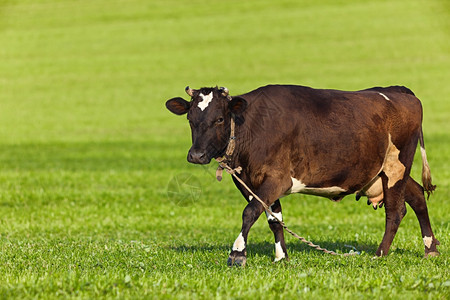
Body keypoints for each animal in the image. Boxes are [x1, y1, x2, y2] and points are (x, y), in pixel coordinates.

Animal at [165, 85, 440, 268]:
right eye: (190, 119)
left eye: (220, 119)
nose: (196, 155)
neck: (253, 127)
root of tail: (398, 91)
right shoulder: (252, 182)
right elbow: (274, 219)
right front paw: (281, 257)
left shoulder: (277, 179)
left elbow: (250, 212)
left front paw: (238, 253)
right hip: (383, 172)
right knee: (417, 196)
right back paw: (430, 248)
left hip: (397, 166)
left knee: (395, 211)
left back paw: (381, 253)